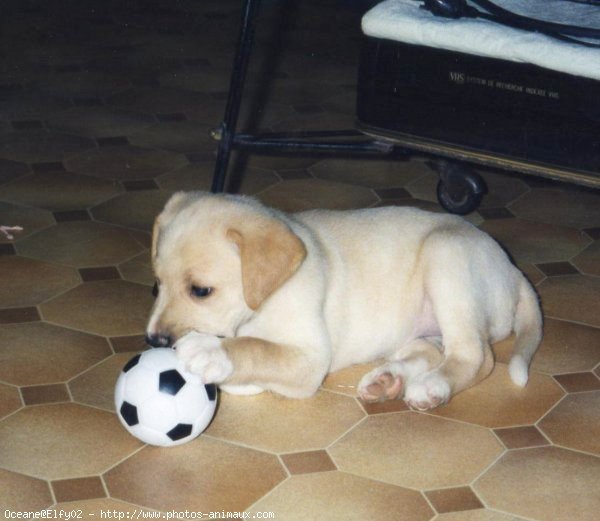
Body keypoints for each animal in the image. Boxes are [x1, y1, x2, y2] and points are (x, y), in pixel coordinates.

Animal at [146, 191, 544, 410]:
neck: (268, 297)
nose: (154, 341)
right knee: (430, 351)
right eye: (156, 285)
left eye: (200, 290)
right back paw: (388, 380)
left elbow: (256, 347)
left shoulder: (310, 357)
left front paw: (209, 350)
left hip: (447, 257)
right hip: (422, 324)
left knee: (477, 356)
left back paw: (432, 387)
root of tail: (512, 269)